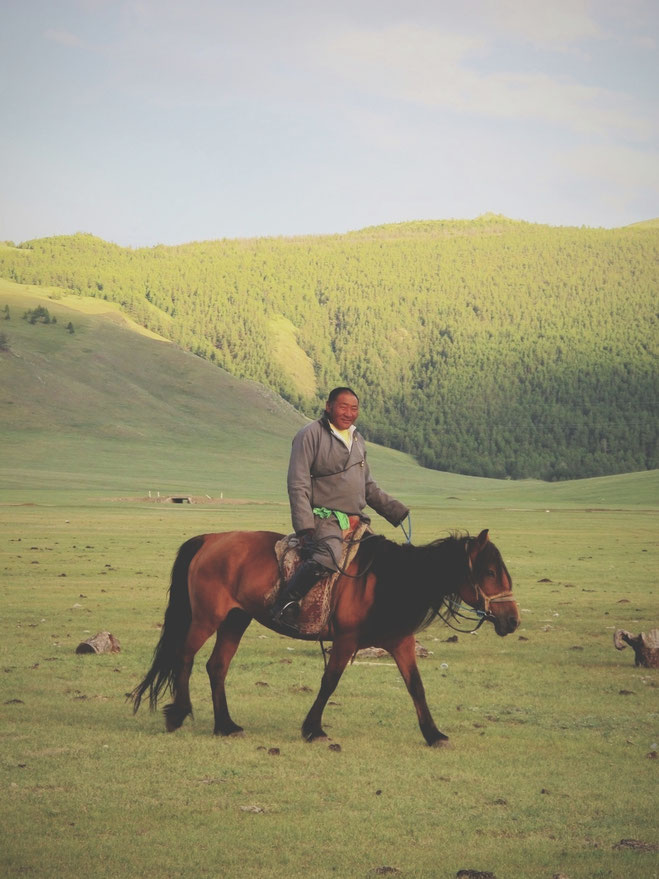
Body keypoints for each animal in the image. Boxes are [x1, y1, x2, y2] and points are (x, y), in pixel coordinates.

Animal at [129, 528, 520, 748]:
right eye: (489, 572)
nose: (512, 620)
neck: (387, 581)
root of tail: (210, 539)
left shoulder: (400, 642)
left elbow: (416, 687)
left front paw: (434, 734)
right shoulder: (346, 641)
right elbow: (330, 682)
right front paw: (313, 729)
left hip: (235, 619)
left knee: (216, 666)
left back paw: (226, 726)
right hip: (207, 617)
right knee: (184, 656)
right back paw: (178, 714)